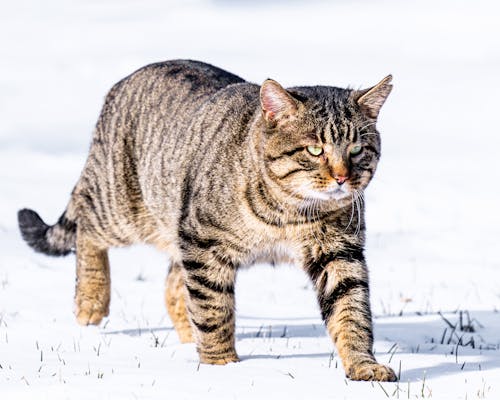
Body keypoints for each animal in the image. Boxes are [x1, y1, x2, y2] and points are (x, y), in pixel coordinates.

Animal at [18, 58, 394, 382]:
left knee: (174, 286)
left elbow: (351, 310)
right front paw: (221, 365)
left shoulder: (338, 252)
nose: (343, 177)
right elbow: (214, 309)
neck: (288, 214)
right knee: (87, 226)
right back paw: (91, 302)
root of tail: (124, 81)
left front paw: (363, 365)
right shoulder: (205, 243)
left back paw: (186, 334)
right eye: (315, 150)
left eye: (357, 149)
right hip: (121, 208)